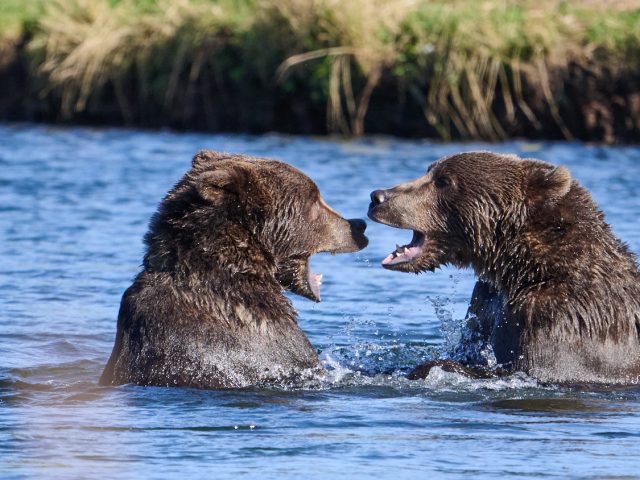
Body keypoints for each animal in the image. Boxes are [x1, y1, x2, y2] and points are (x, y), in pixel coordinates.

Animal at [368, 151, 640, 385]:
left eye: (444, 181)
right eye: (430, 171)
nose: (377, 197)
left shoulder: (562, 318)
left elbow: (528, 370)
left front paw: (424, 369)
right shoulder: (486, 300)